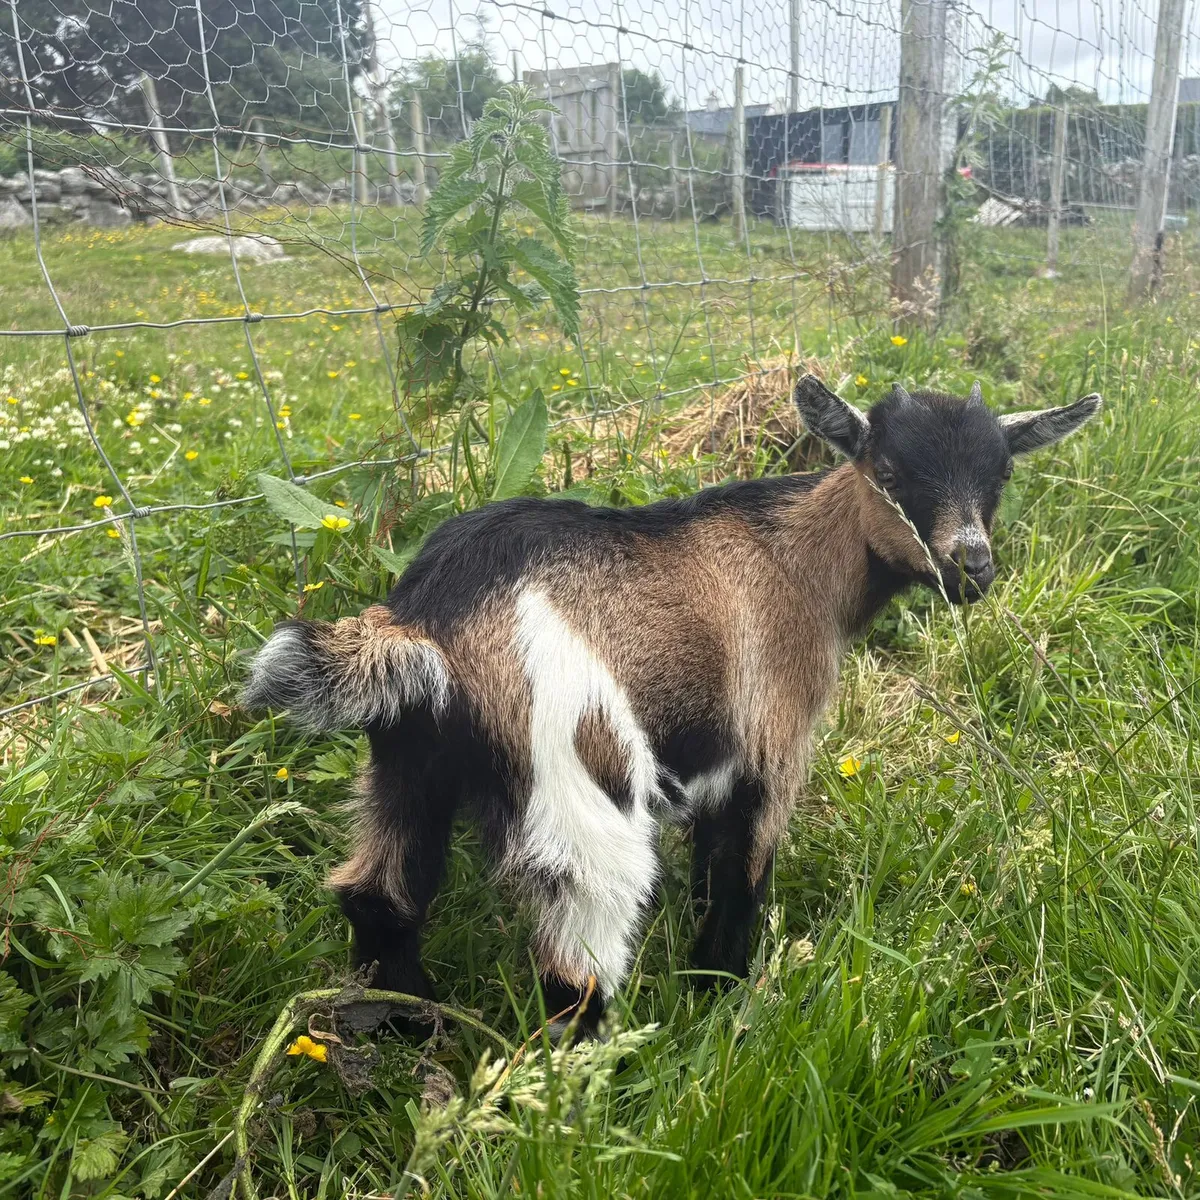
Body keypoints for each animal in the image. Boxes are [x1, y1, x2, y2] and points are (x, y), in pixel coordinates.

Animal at [243, 376, 1100, 1038]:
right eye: (888, 468)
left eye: (1001, 477)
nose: (971, 568)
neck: (798, 562)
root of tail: (426, 620)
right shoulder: (771, 742)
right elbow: (740, 874)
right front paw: (724, 997)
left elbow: (711, 867)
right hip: (577, 785)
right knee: (577, 966)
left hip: (409, 762)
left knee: (379, 896)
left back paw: (408, 1030)